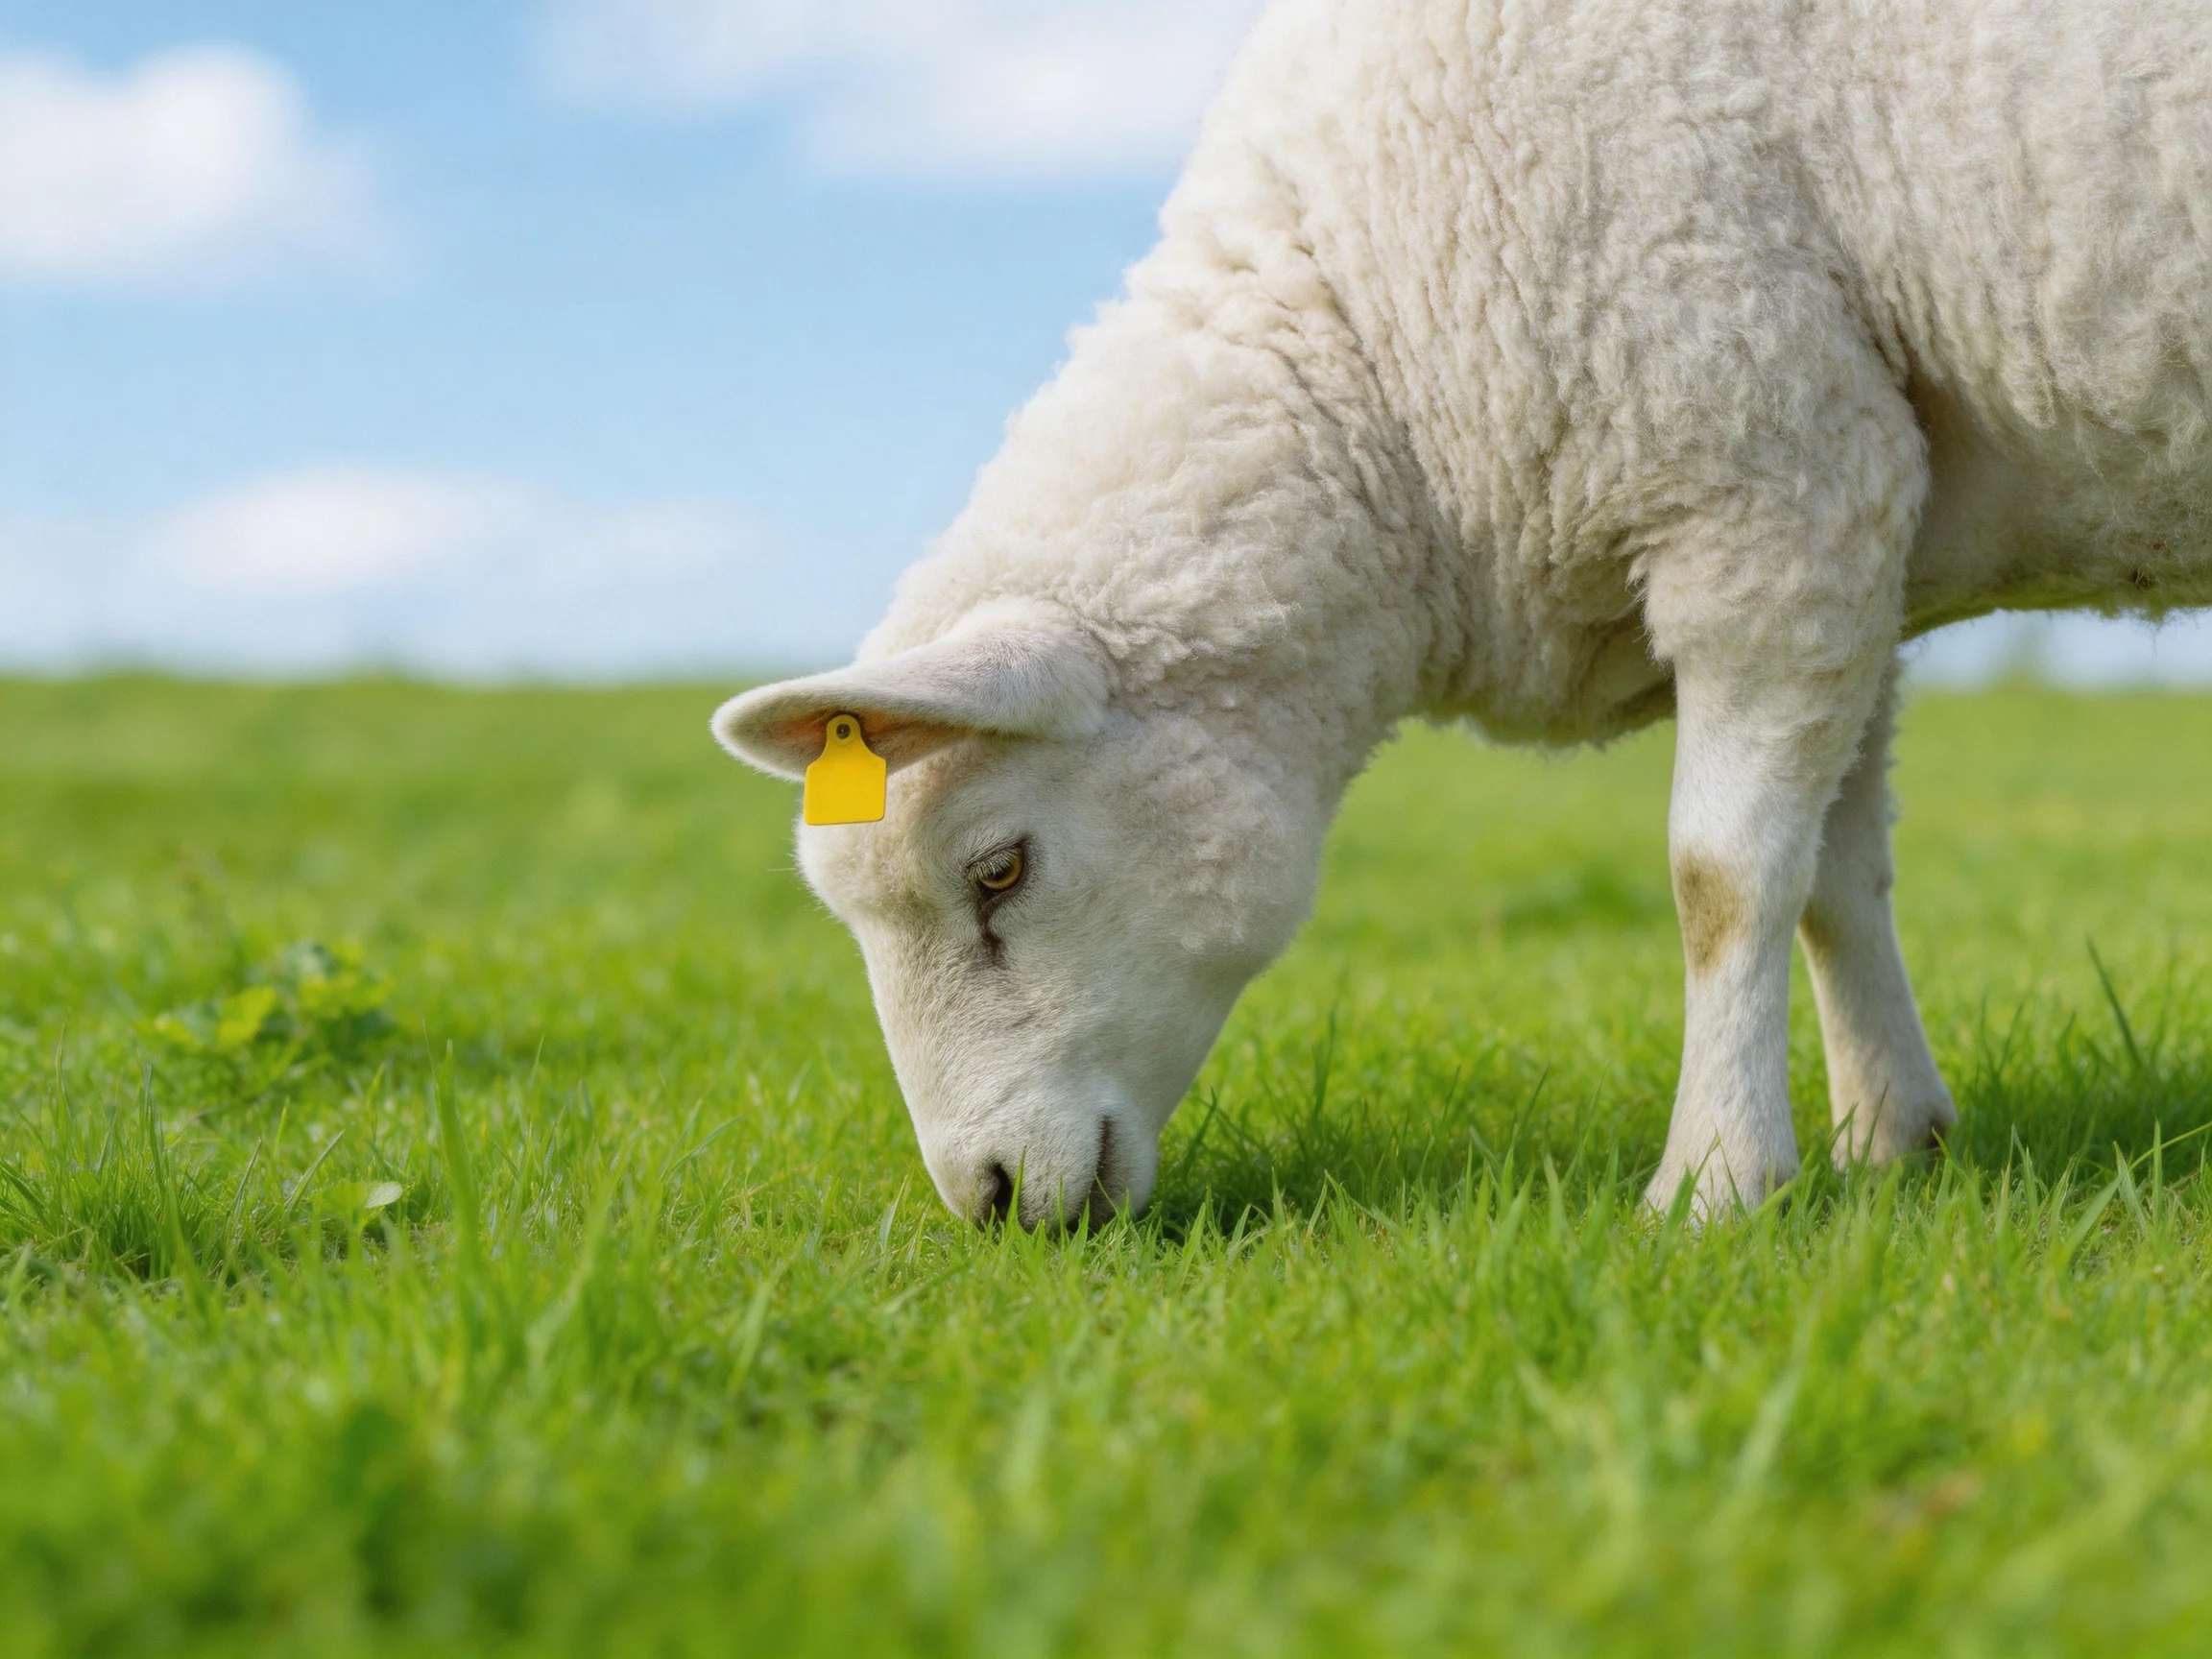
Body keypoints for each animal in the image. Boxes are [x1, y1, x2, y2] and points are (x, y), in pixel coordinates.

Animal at [714, 0, 2212, 1225]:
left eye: (998, 871)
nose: (988, 1198)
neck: (1376, 358)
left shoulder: (1767, 487)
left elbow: (1723, 879)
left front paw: (1717, 1184)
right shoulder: (1853, 514)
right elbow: (1840, 879)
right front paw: (1891, 1141)